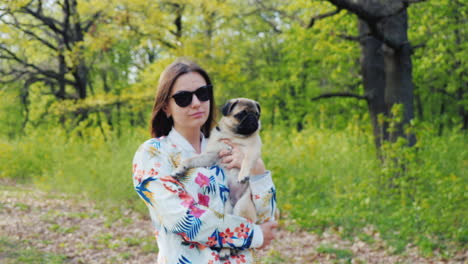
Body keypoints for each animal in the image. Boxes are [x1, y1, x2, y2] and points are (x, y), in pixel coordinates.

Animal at [170, 98, 262, 258]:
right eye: (241, 114)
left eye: (256, 114)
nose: (252, 119)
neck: (234, 136)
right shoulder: (211, 155)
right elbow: (191, 159)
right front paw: (180, 168)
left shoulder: (252, 151)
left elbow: (246, 160)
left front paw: (243, 174)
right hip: (227, 210)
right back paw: (226, 250)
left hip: (242, 206)